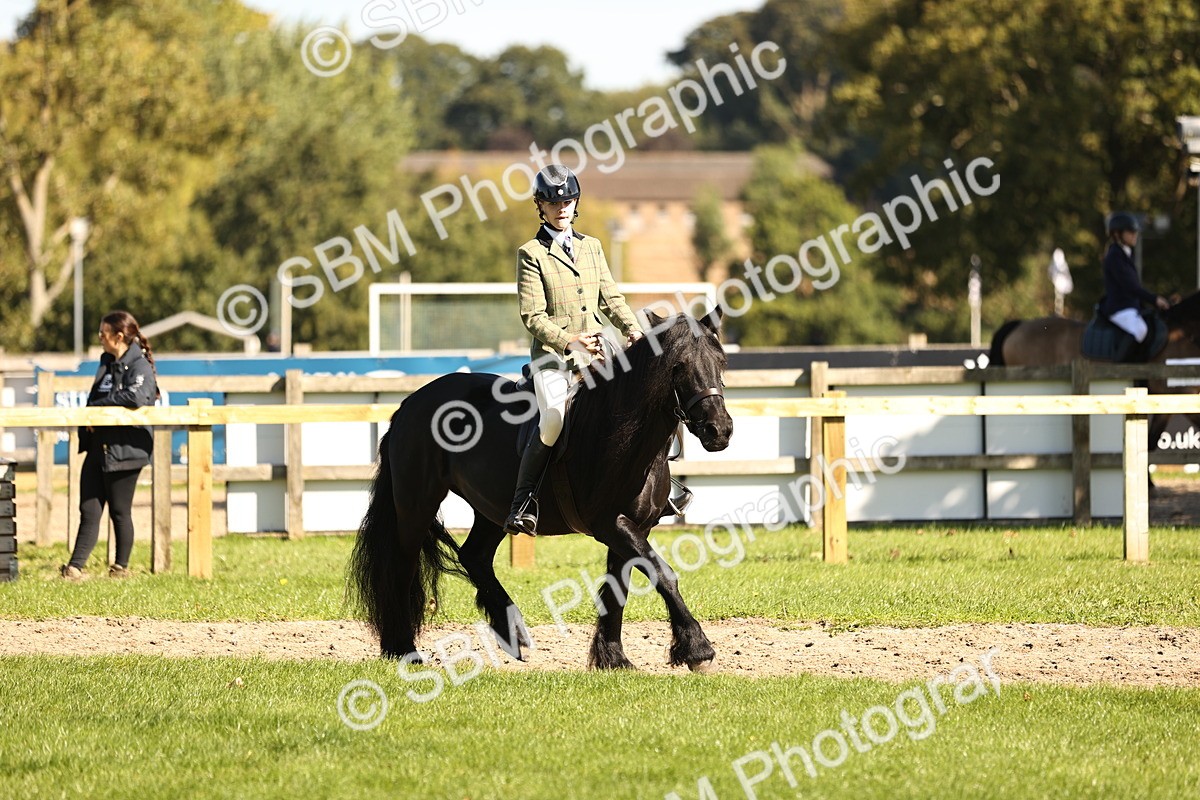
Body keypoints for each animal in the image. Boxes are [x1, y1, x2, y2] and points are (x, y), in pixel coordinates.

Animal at [350, 309, 734, 671]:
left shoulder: (635, 526)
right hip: (417, 504)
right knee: (402, 567)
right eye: (677, 367)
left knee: (474, 556)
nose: (719, 430)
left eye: (721, 362)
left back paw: (512, 631)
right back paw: (405, 650)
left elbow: (617, 588)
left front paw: (613, 658)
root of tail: (410, 403)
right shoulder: (610, 524)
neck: (620, 435)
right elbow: (663, 573)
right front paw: (697, 649)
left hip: (492, 508)